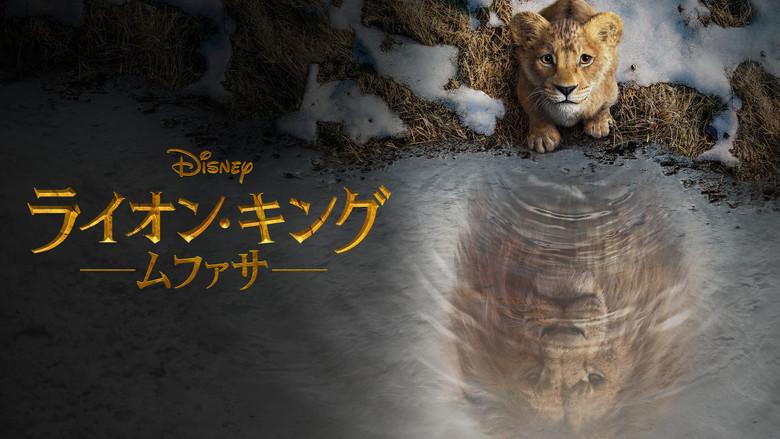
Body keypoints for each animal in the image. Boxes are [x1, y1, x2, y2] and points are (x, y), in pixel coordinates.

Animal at [510, 0, 623, 153]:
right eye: (547, 59)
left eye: (585, 59)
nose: (566, 89)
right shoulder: (525, 88)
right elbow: (535, 112)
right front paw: (543, 136)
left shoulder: (611, 88)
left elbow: (603, 106)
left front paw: (598, 124)